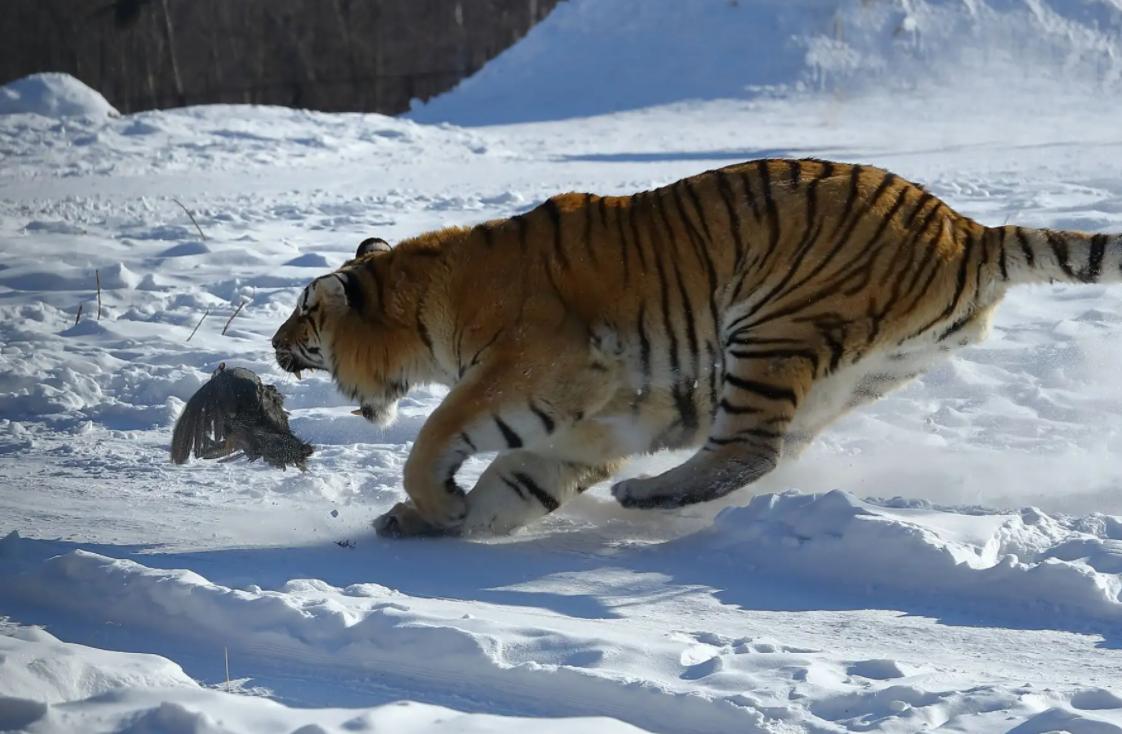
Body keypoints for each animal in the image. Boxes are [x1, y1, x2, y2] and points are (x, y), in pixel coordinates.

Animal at [271, 158, 1122, 538]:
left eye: (304, 314)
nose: (274, 345)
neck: (425, 300)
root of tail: (967, 228)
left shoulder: (532, 370)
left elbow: (438, 434)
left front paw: (434, 502)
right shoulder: (598, 419)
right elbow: (515, 485)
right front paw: (434, 522)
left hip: (769, 323)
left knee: (749, 448)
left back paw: (643, 495)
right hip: (845, 373)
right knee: (766, 449)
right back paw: (653, 493)